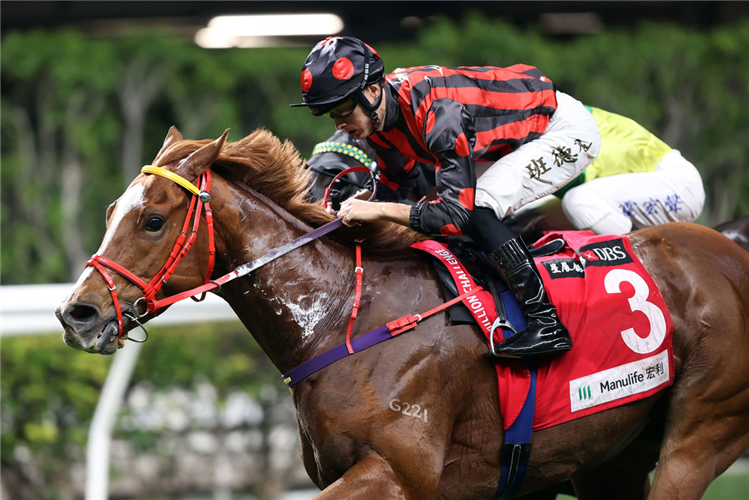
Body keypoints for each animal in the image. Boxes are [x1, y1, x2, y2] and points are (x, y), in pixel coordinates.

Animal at [57, 129, 748, 500]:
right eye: (115, 208)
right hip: (610, 460)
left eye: (152, 219)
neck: (342, 319)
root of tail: (728, 248)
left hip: (700, 432)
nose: (76, 314)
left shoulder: (396, 474)